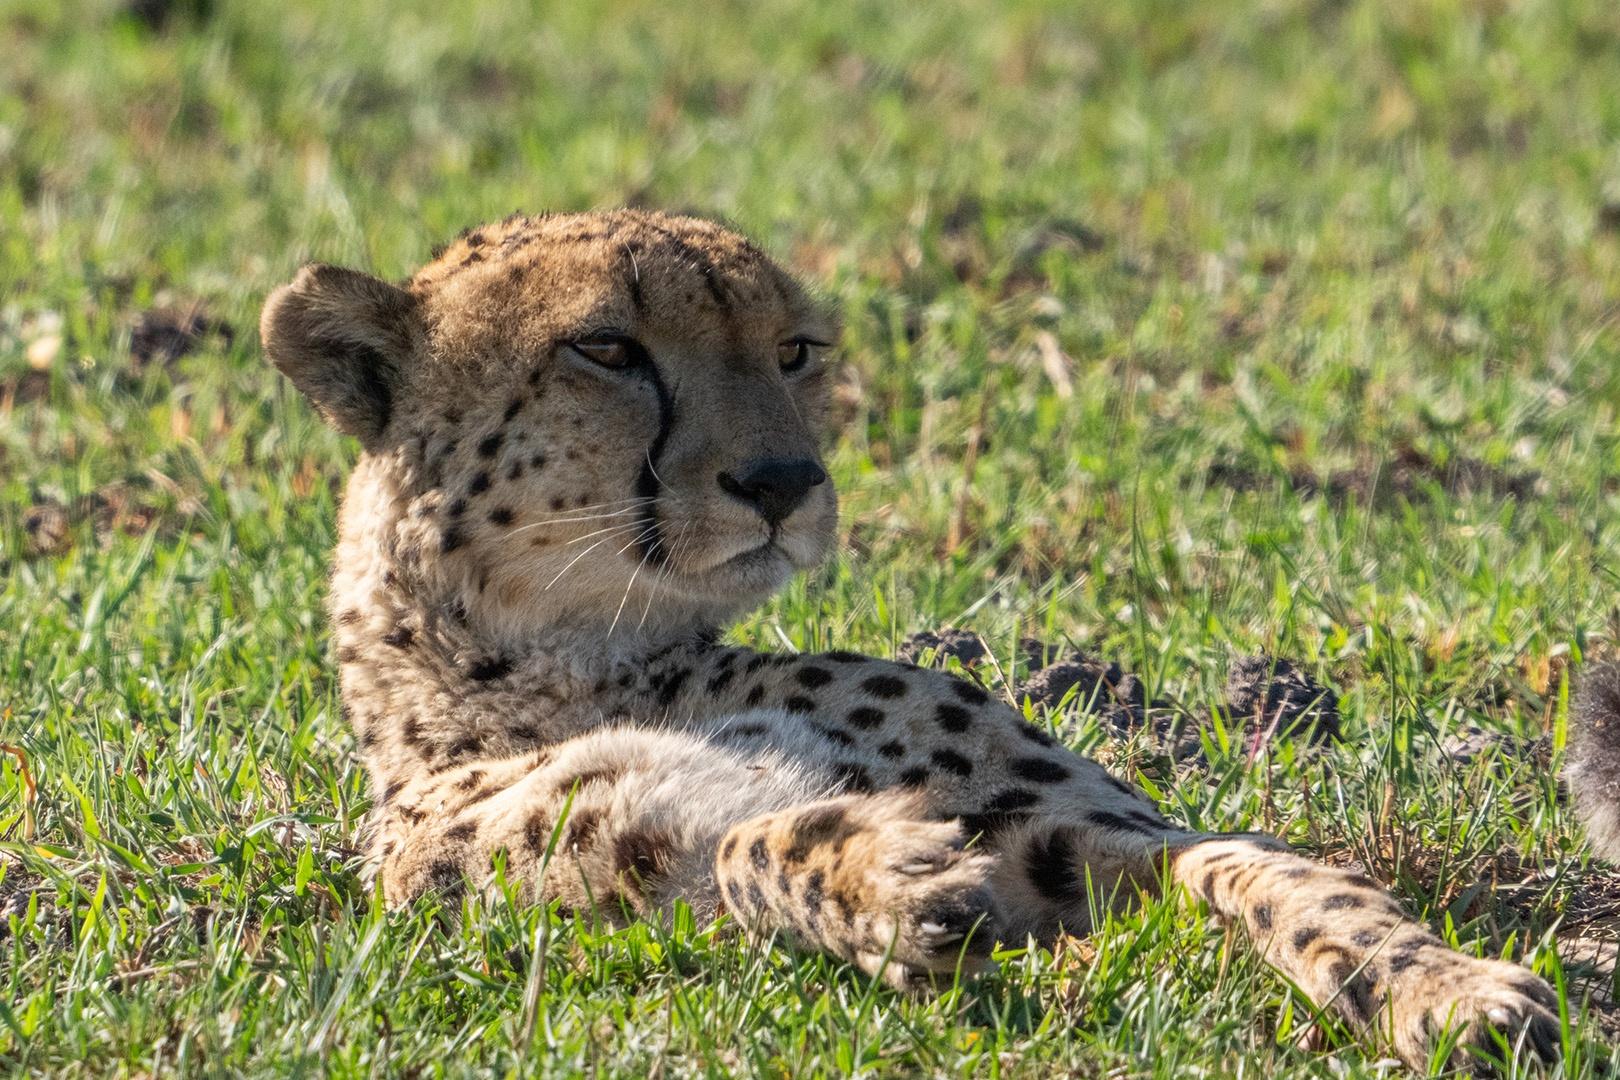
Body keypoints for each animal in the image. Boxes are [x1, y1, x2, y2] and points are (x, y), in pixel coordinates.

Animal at [265, 210, 1568, 1075]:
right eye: (608, 348)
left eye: (794, 352)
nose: (783, 481)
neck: (586, 650)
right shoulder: (580, 874)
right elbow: (744, 842)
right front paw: (886, 882)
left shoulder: (1093, 834)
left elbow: (1269, 871)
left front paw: (1448, 988)